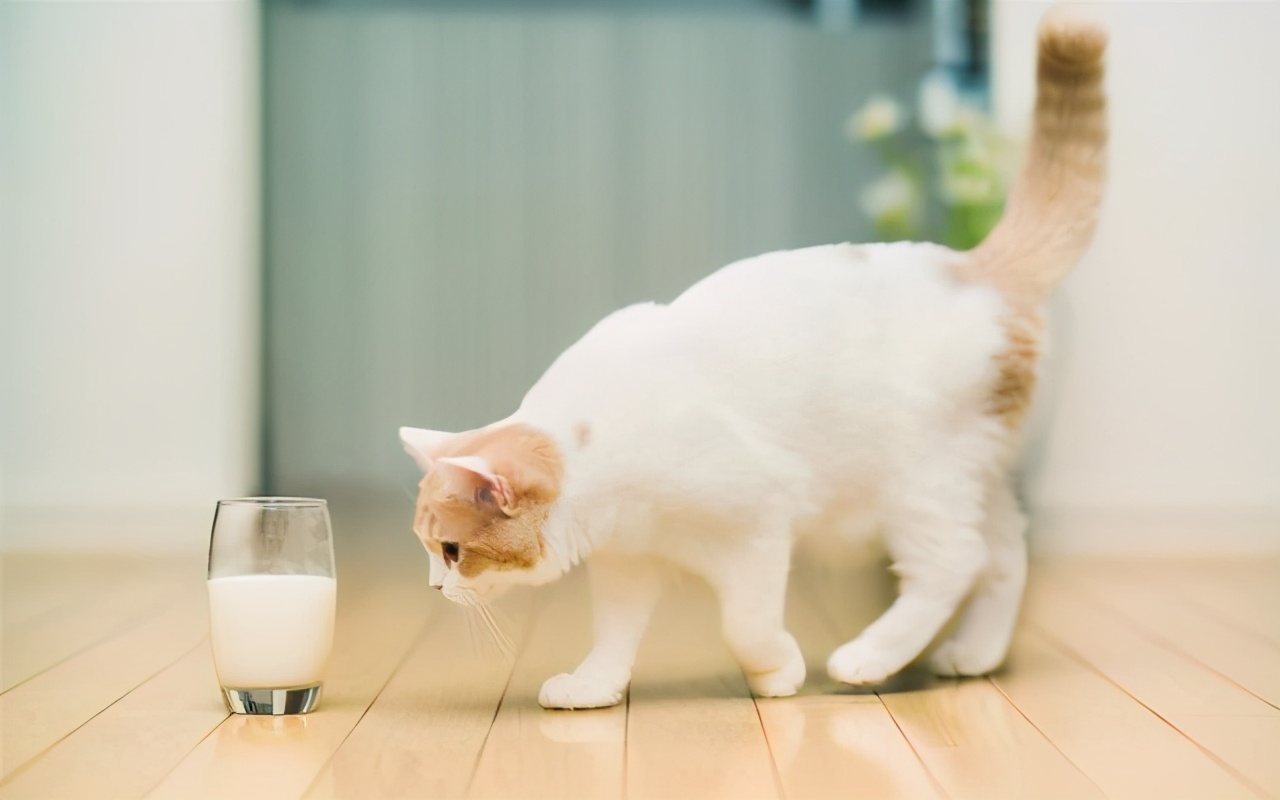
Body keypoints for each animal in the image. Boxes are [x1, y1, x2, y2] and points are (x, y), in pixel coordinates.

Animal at [401, 14, 1111, 706]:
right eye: (429, 549)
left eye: (452, 550)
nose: (434, 587)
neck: (598, 451)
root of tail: (974, 267)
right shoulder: (627, 563)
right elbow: (614, 634)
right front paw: (594, 685)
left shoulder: (758, 530)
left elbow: (744, 623)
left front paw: (776, 672)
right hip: (970, 480)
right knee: (1005, 554)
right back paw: (973, 654)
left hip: (919, 486)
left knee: (954, 561)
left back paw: (867, 659)